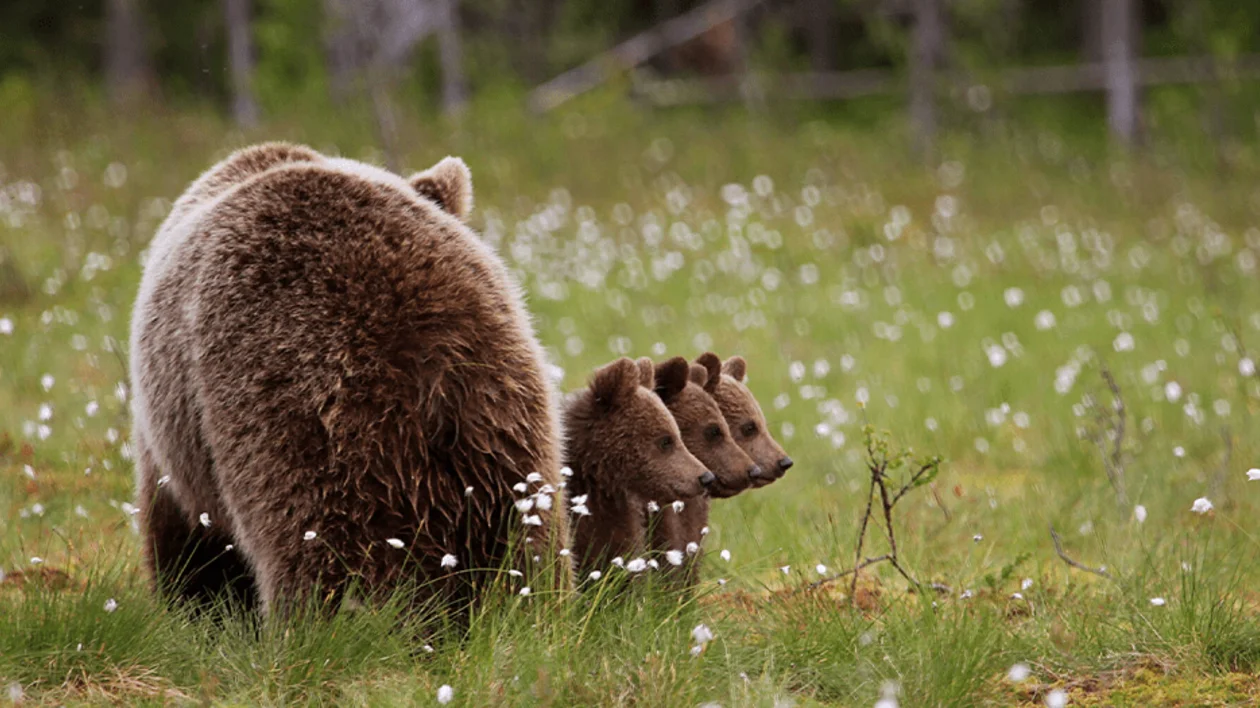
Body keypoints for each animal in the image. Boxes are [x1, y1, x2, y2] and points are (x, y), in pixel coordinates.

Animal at [129, 142, 569, 617]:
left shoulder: (177, 433)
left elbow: (186, 537)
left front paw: (195, 604)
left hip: (305, 421)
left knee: (322, 551)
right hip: (504, 419)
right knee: (528, 542)